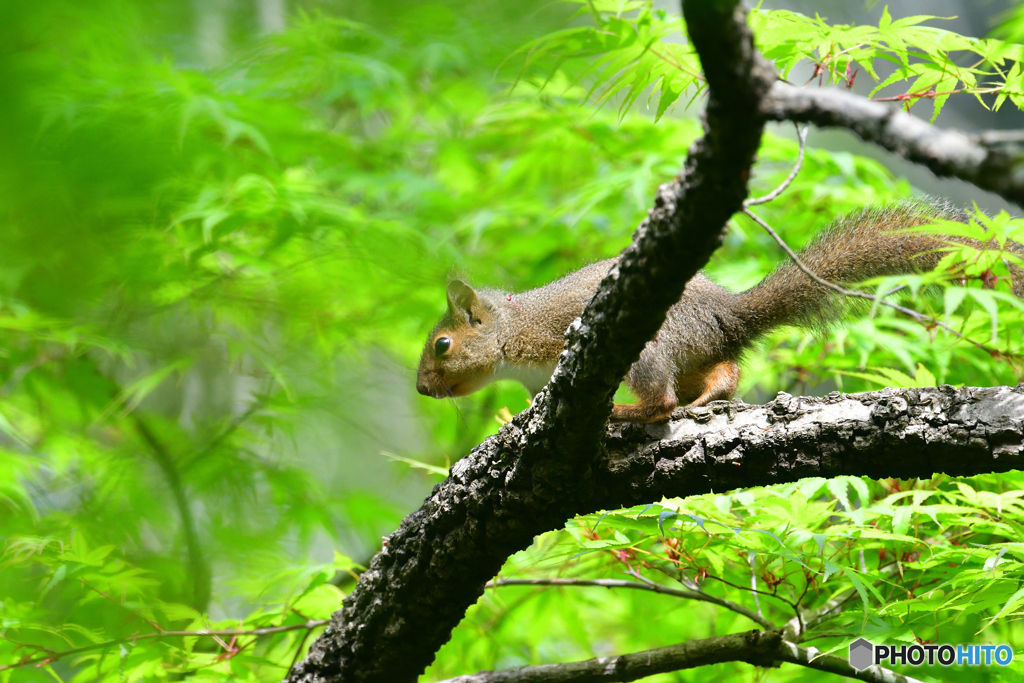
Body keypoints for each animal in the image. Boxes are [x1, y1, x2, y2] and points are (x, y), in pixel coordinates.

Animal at [415, 198, 1024, 421]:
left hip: (650, 348)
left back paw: (628, 412)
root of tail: (729, 314)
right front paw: (508, 417)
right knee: (724, 373)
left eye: (442, 345)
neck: (509, 332)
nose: (422, 388)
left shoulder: (547, 336)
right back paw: (708, 398)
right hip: (697, 354)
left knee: (660, 399)